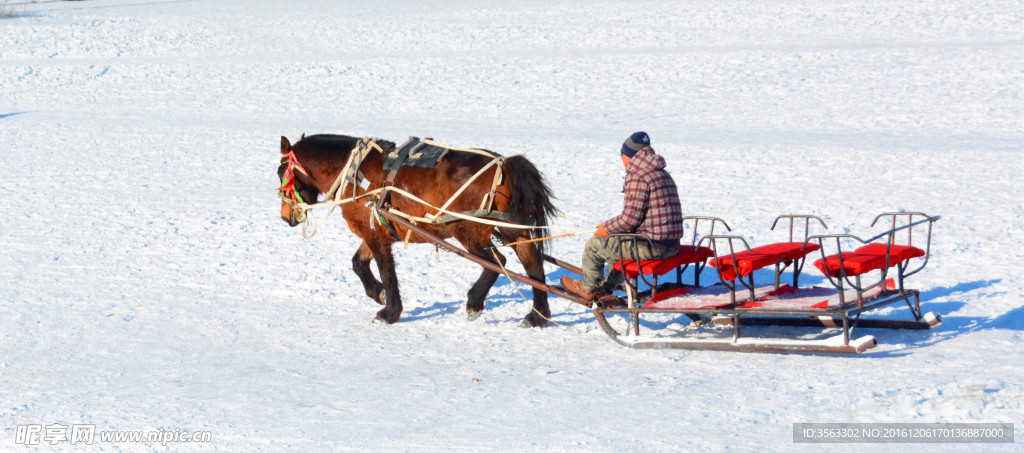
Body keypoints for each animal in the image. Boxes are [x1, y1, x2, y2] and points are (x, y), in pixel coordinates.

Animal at [276, 133, 557, 325]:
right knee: (532, 263)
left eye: (281, 172)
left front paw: (390, 312)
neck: (353, 171)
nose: (285, 216)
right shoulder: (375, 229)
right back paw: (537, 316)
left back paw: (475, 302)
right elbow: (358, 263)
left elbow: (386, 269)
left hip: (466, 230)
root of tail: (504, 164)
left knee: (496, 261)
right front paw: (378, 294)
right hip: (509, 226)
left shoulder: (373, 232)